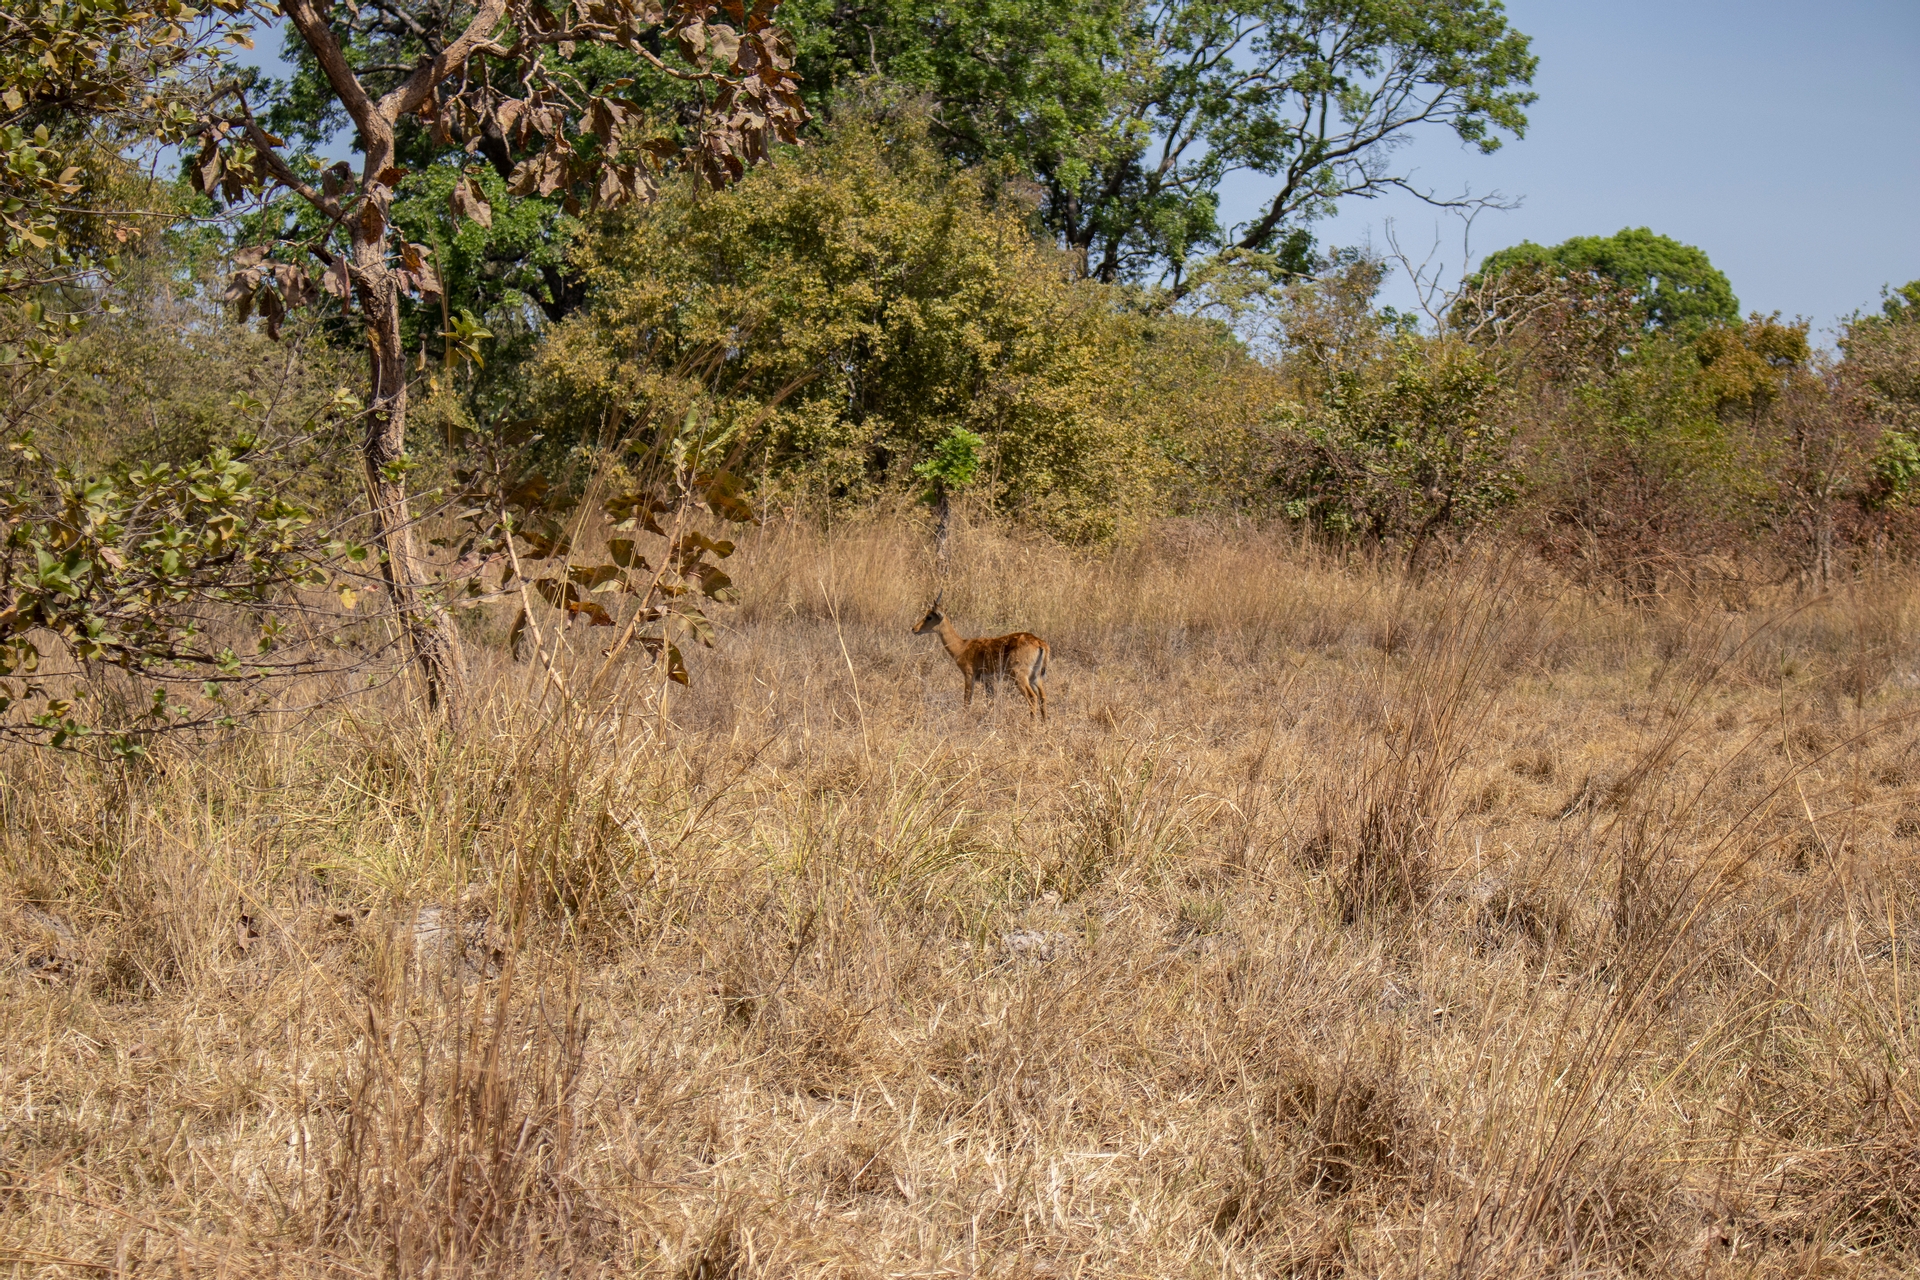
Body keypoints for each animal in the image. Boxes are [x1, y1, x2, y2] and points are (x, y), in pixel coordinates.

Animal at [910, 594, 1052, 721]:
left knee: (1032, 697)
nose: (914, 629)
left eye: (929, 617)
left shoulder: (969, 676)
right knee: (1043, 697)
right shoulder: (988, 681)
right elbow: (991, 702)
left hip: (1020, 677)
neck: (962, 646)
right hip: (1036, 677)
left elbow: (967, 701)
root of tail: (1040, 643)